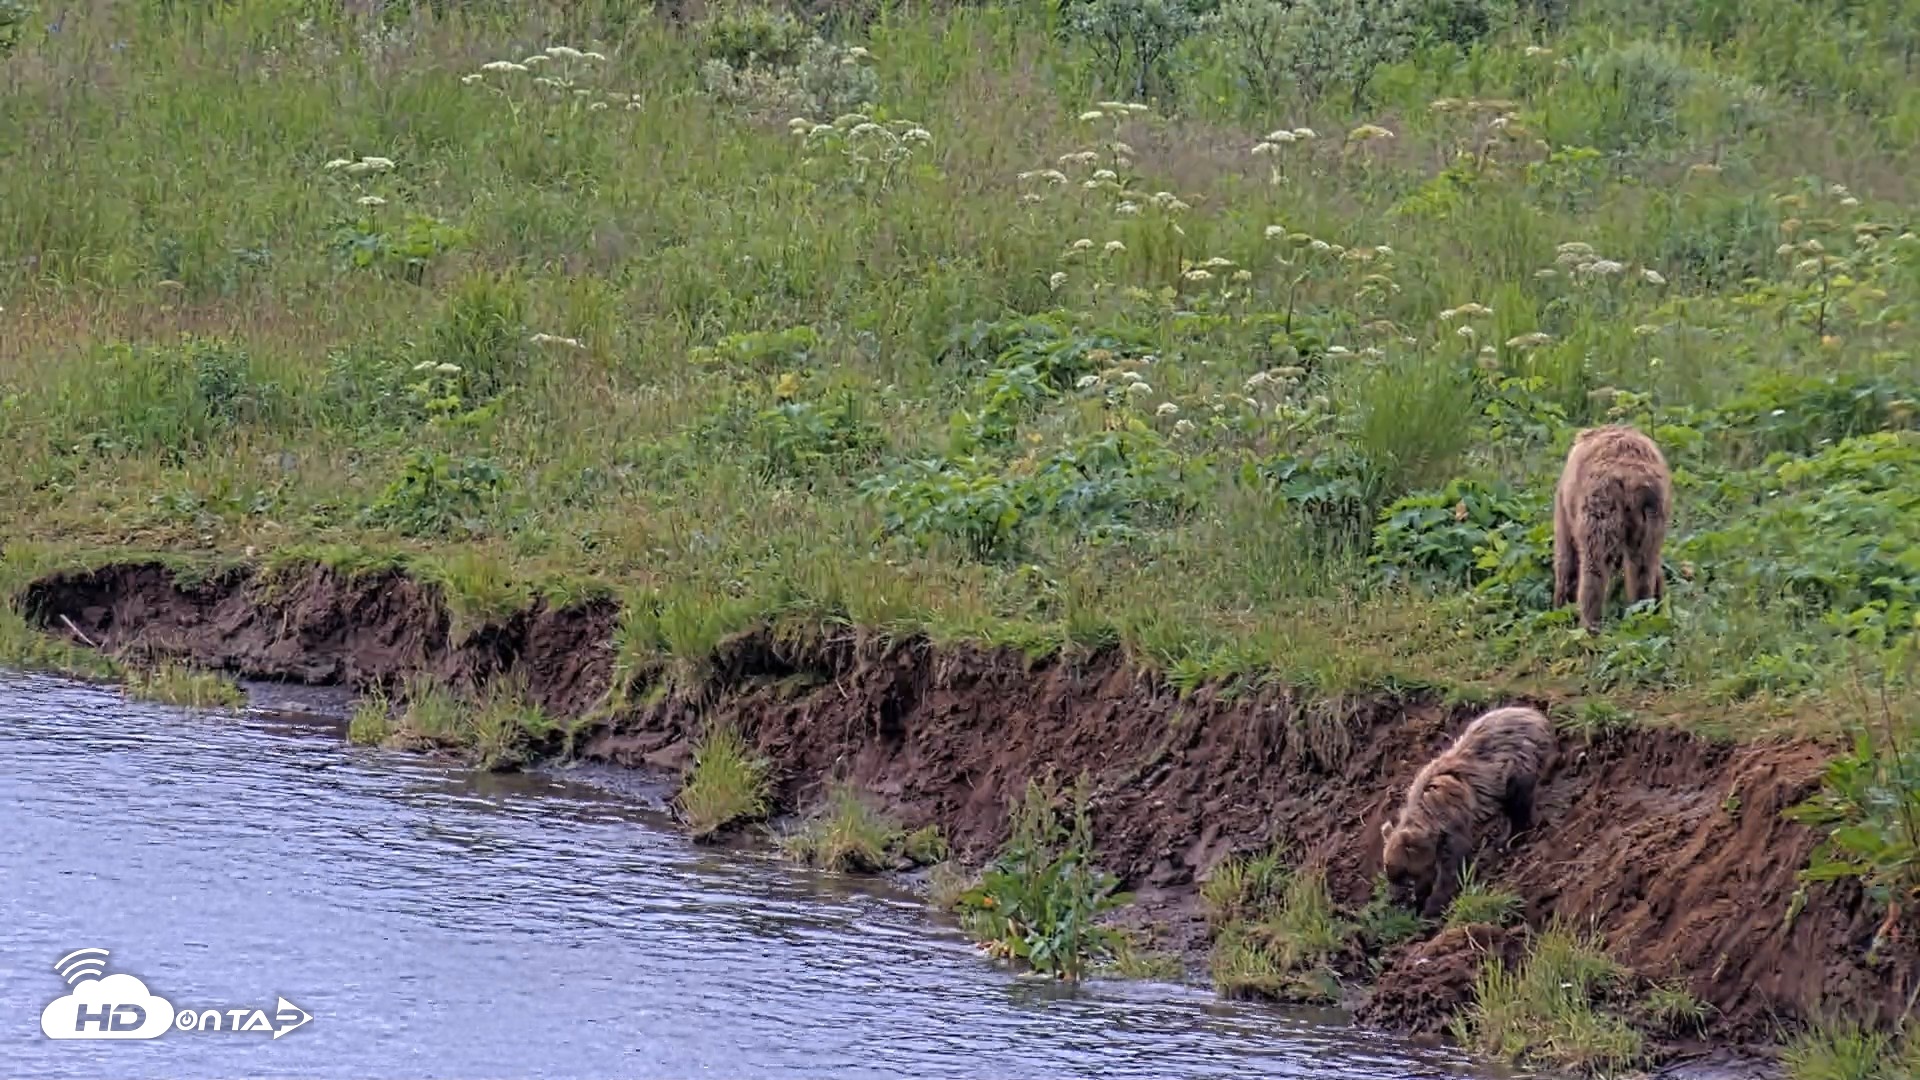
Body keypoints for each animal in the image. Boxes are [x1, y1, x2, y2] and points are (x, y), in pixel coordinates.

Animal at [1379, 705, 1555, 920]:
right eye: (1388, 868)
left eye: (1403, 874)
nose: (1395, 899)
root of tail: (1536, 715)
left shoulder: (1452, 823)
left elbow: (1452, 865)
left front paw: (1432, 905)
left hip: (1518, 763)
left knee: (1519, 804)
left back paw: (1508, 840)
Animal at [1552, 424, 1673, 630]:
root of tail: (1632, 479)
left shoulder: (1565, 512)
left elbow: (1565, 557)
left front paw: (1559, 609)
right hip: (1650, 518)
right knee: (1643, 568)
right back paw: (1644, 615)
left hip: (1600, 510)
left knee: (1594, 570)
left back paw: (1589, 625)